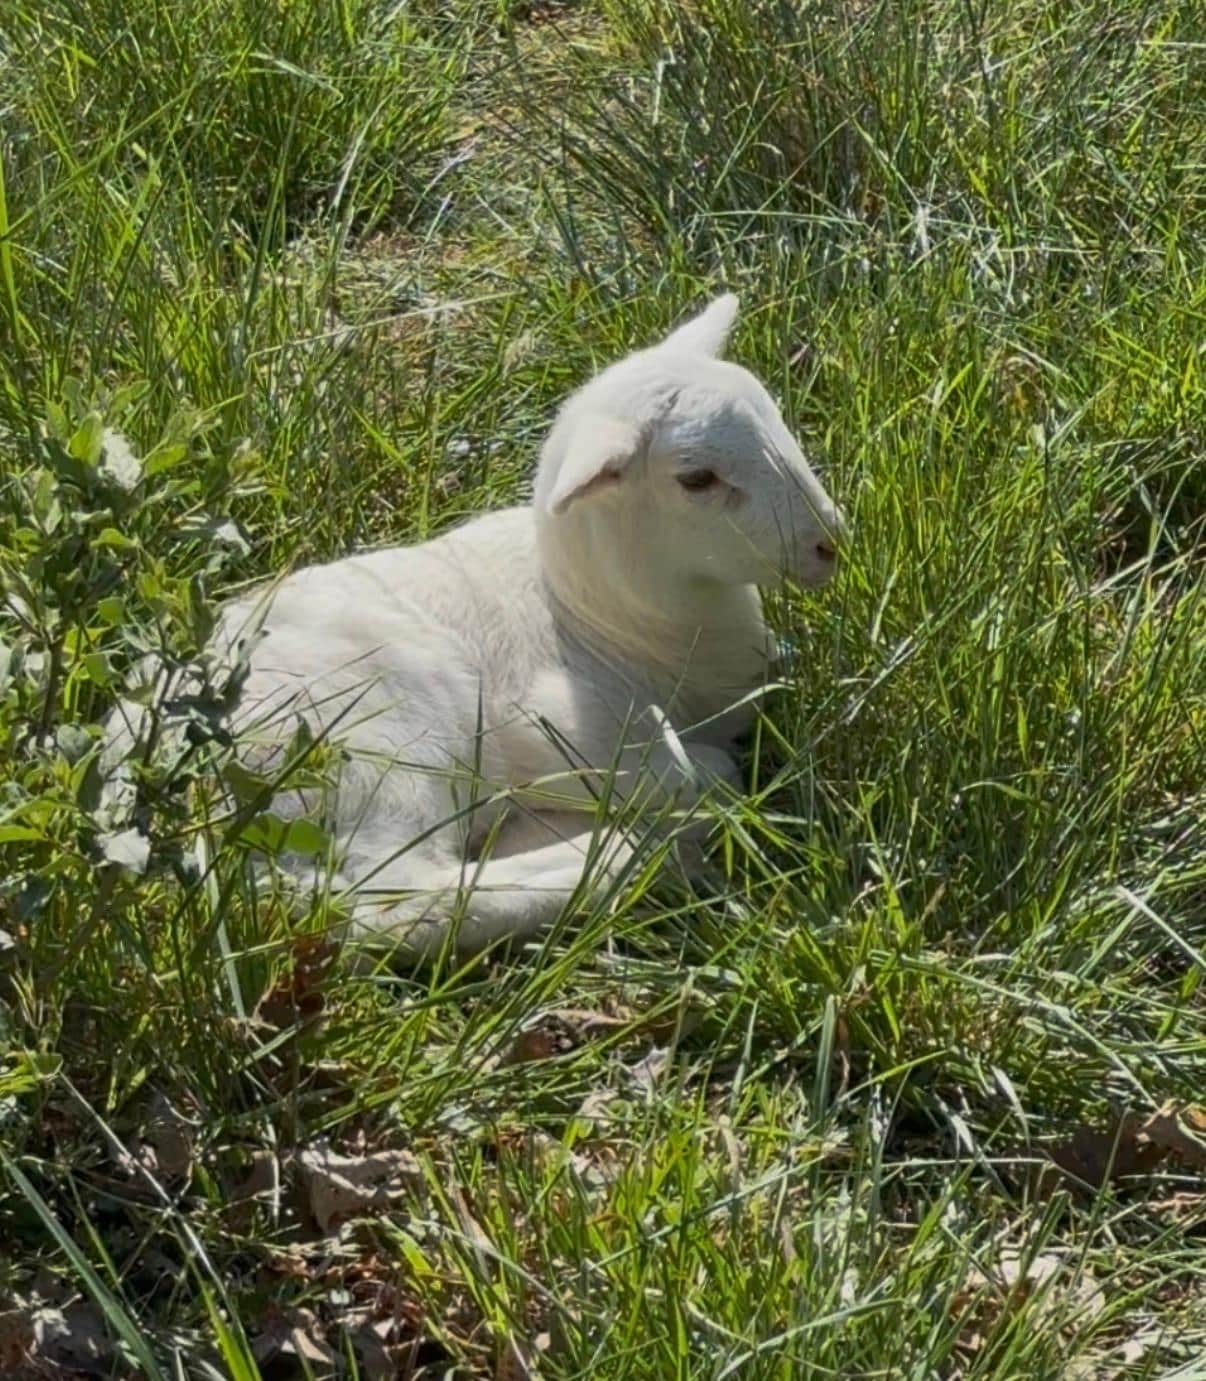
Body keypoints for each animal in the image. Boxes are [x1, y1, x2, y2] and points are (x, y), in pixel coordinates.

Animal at [179, 294, 845, 957]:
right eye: (697, 479)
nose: (830, 542)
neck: (611, 620)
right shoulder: (557, 731)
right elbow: (712, 771)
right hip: (374, 748)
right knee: (394, 902)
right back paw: (624, 856)